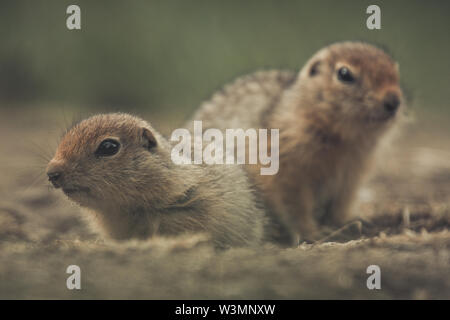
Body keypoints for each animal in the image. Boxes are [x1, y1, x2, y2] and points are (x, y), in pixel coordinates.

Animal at [190, 41, 404, 244]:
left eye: (395, 70)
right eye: (344, 74)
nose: (394, 101)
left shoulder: (352, 174)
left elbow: (340, 203)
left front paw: (349, 222)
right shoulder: (283, 166)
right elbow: (294, 204)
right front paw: (313, 232)